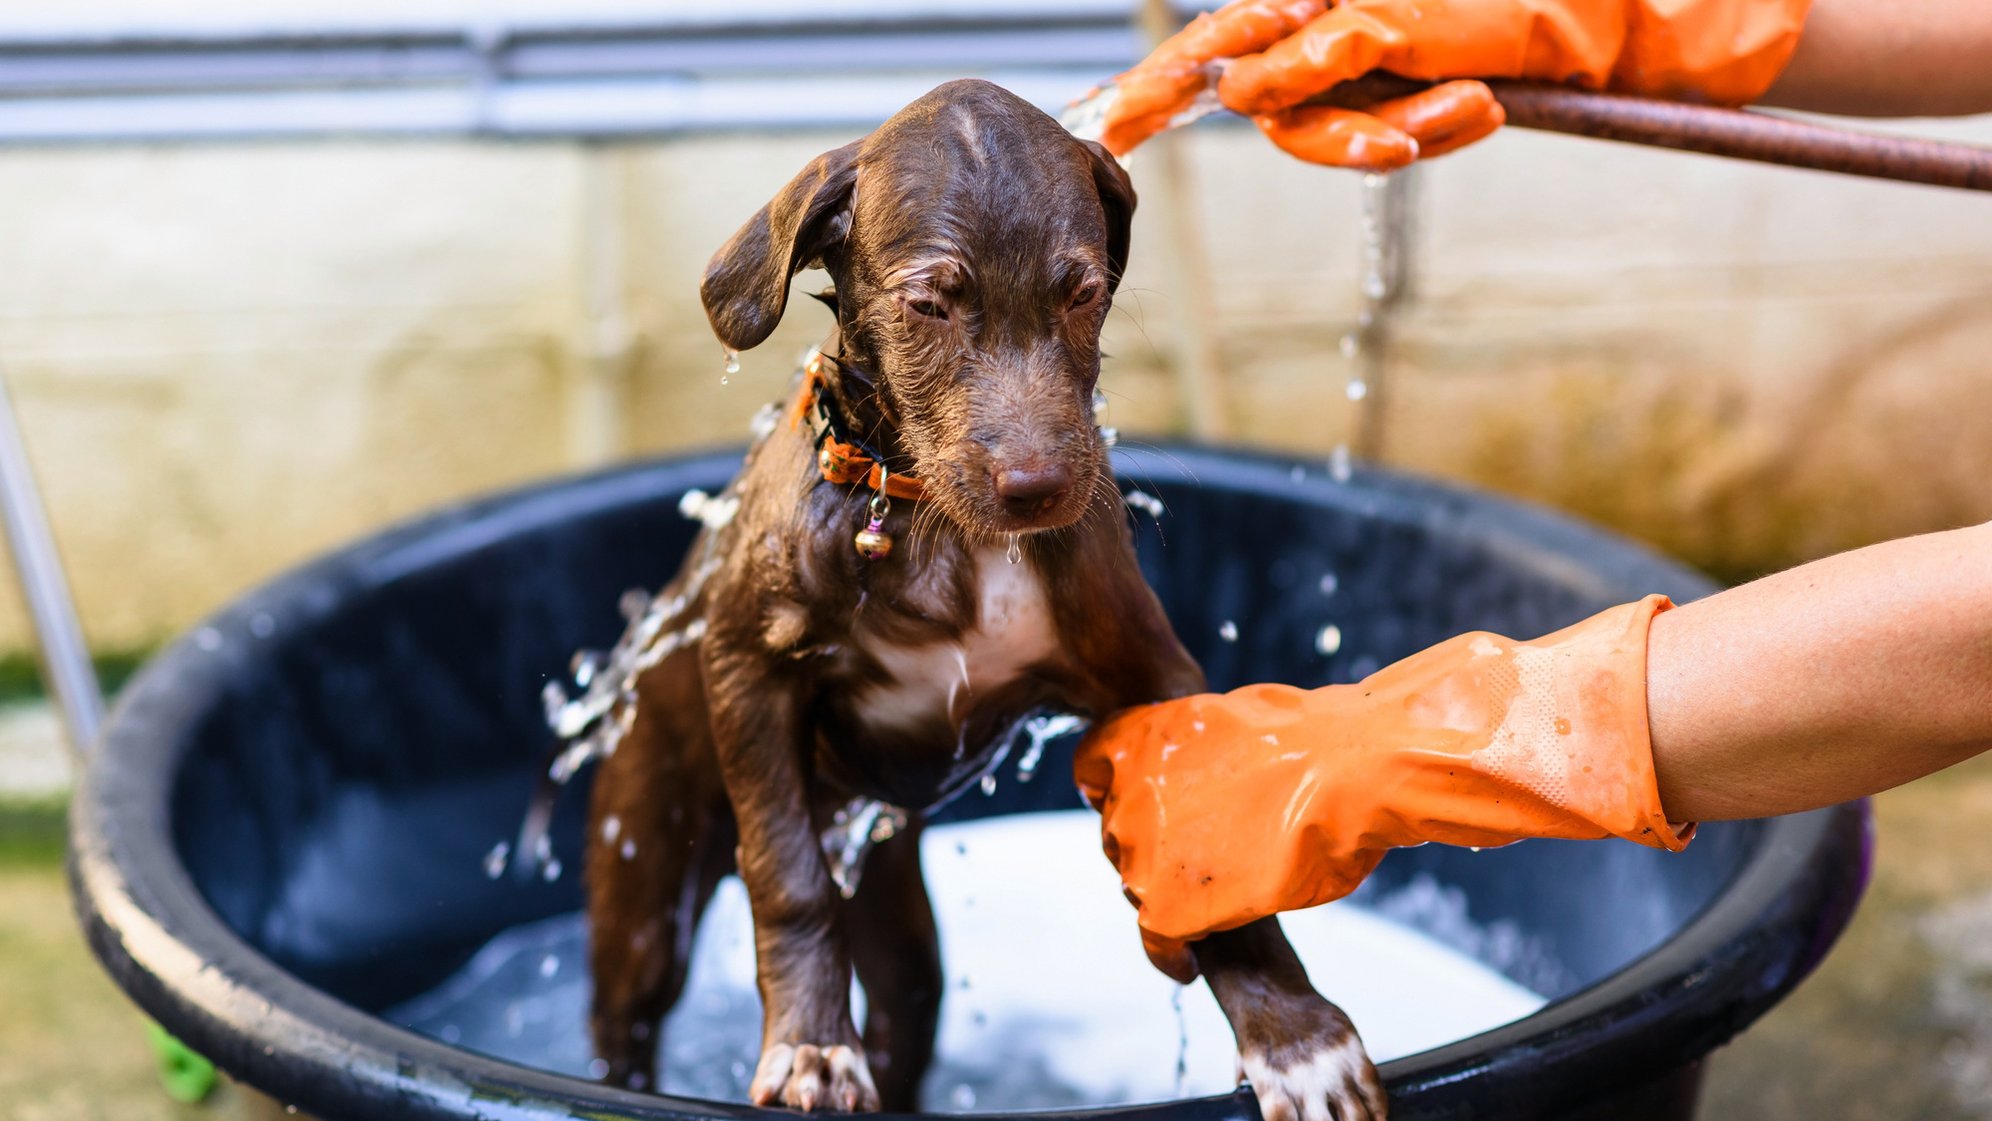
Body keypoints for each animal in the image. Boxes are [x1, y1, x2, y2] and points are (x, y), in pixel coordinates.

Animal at [573, 81, 1386, 1121]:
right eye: (928, 304)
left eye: (1082, 293)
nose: (1038, 489)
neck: (937, 529)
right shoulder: (749, 667)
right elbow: (787, 877)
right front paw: (809, 1045)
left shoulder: (1147, 667)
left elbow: (1203, 845)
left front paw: (1294, 1036)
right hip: (645, 865)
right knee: (626, 1016)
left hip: (890, 894)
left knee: (907, 1001)